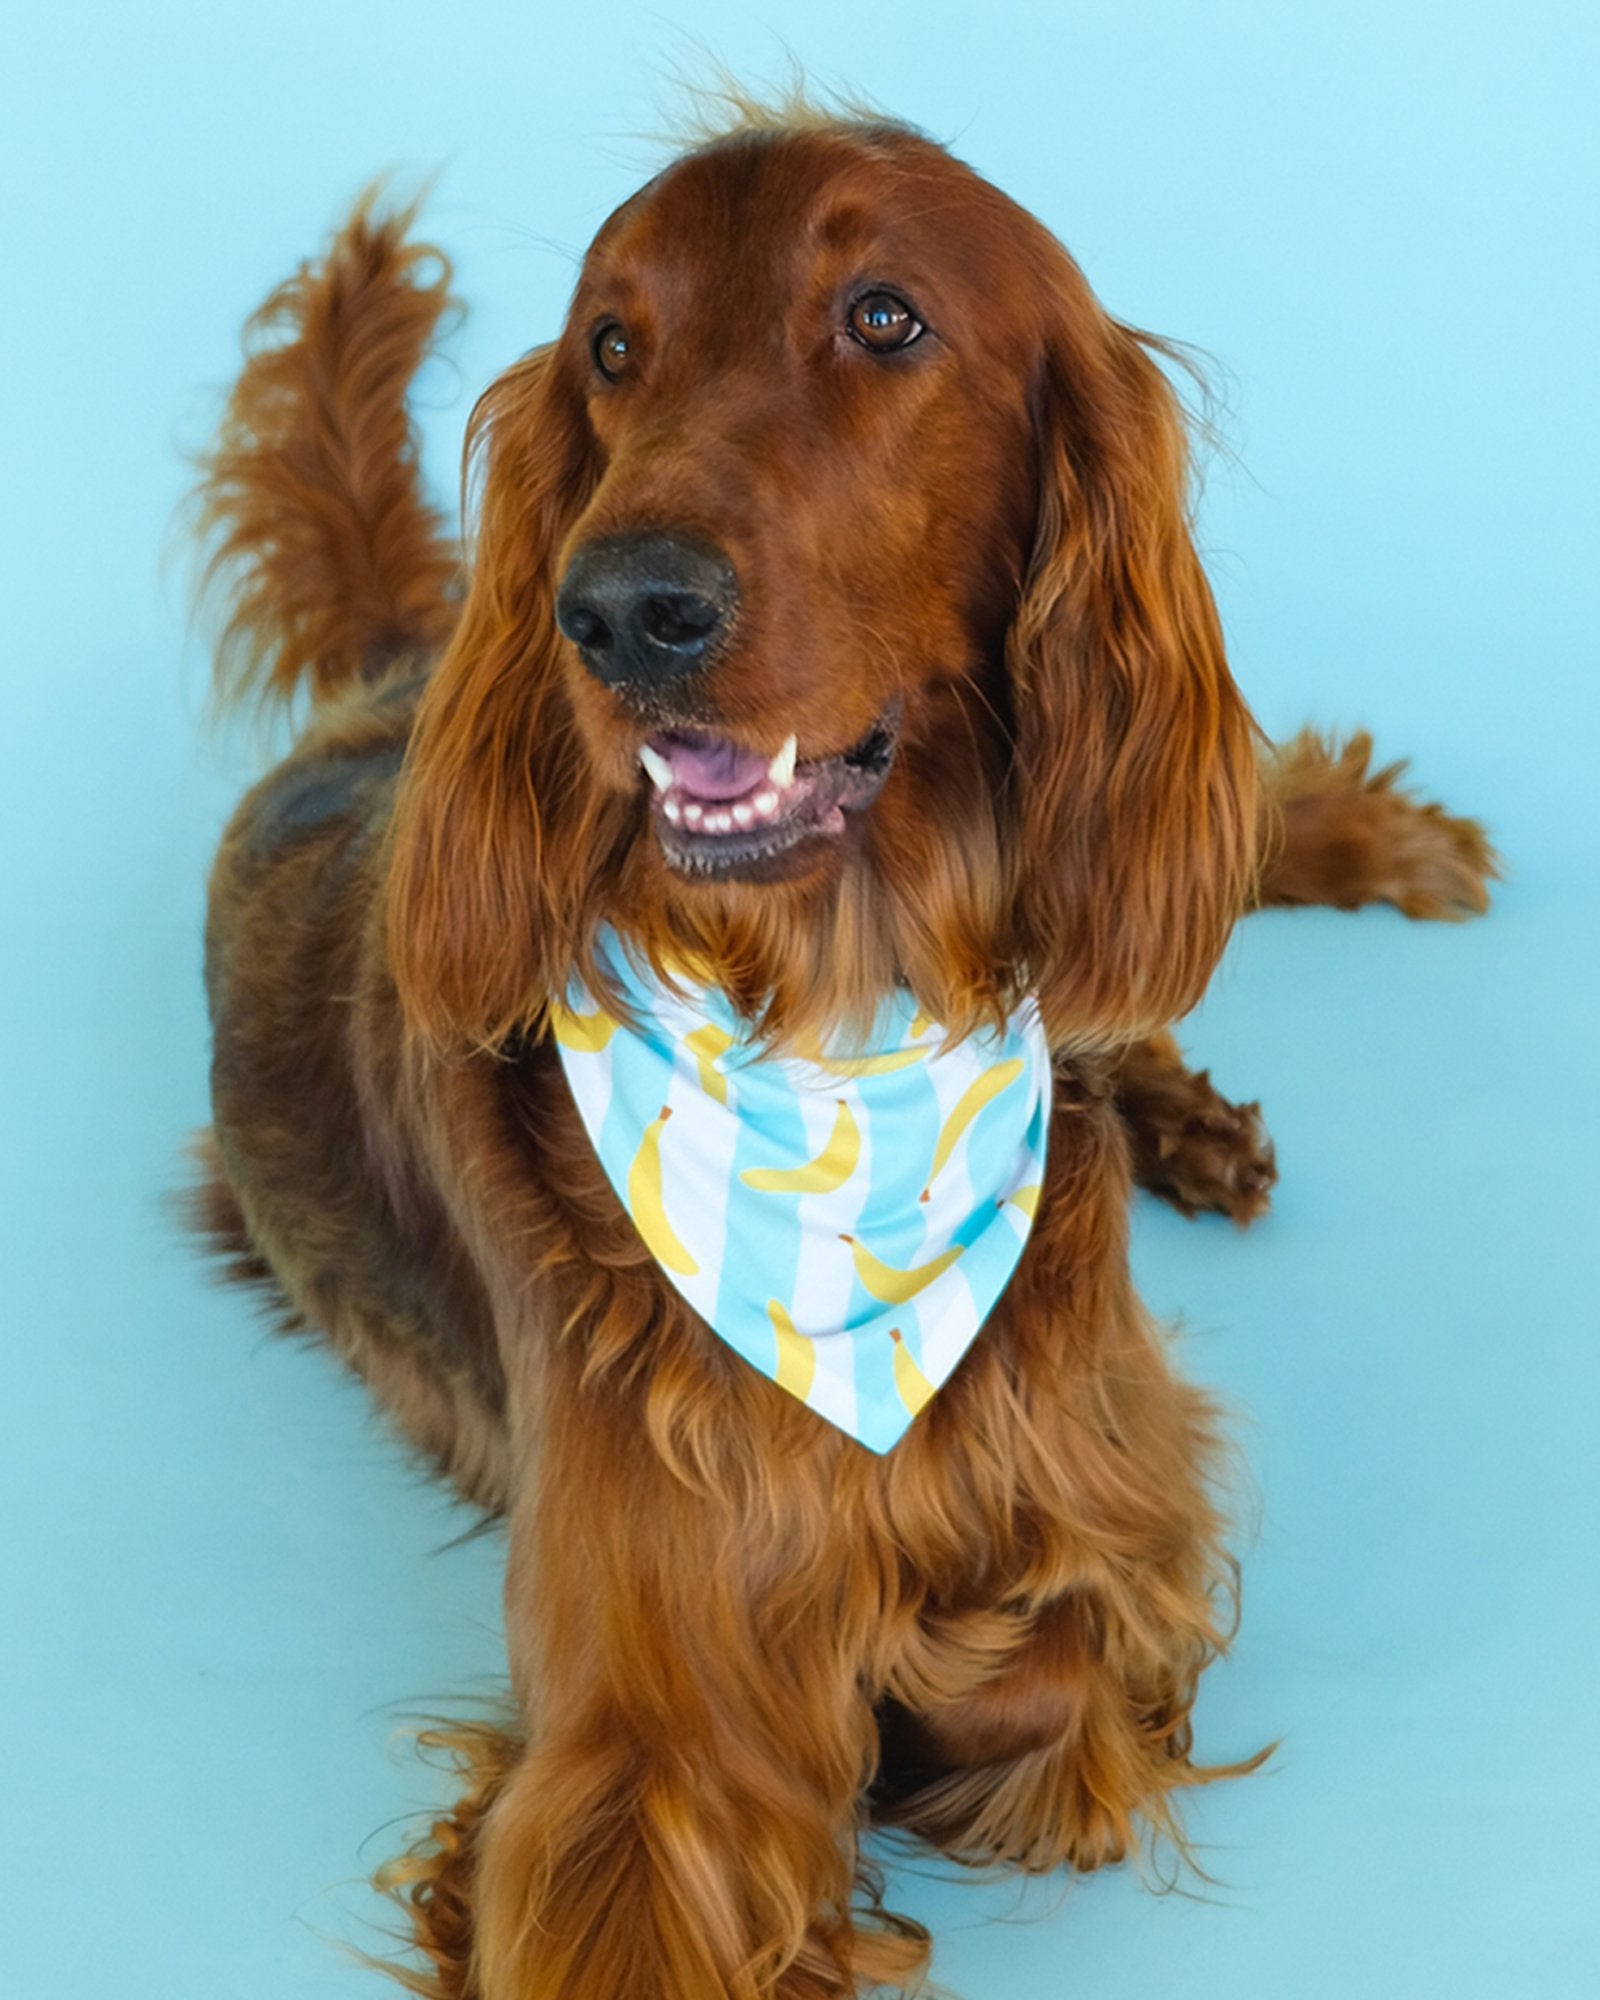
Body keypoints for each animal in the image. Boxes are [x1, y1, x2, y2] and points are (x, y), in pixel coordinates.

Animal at [191, 97, 1504, 2000]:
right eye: (612, 348)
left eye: (884, 317)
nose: (621, 609)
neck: (836, 1035)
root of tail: (405, 679)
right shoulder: (636, 1756)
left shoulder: (1131, 1495)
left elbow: (1067, 1654)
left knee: (1176, 887)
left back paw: (1337, 910)